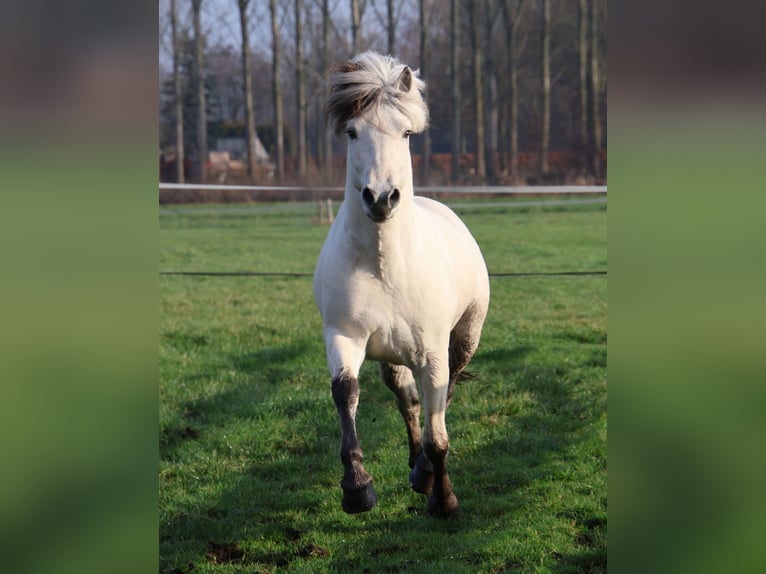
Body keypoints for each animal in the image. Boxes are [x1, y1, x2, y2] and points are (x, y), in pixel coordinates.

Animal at [313, 52, 490, 518]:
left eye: (406, 132)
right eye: (352, 132)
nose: (381, 197)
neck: (385, 267)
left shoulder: (433, 353)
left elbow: (438, 431)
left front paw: (444, 501)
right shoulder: (344, 336)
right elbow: (346, 393)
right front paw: (357, 488)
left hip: (463, 338)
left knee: (441, 399)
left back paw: (425, 473)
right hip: (390, 354)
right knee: (406, 398)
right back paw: (415, 466)